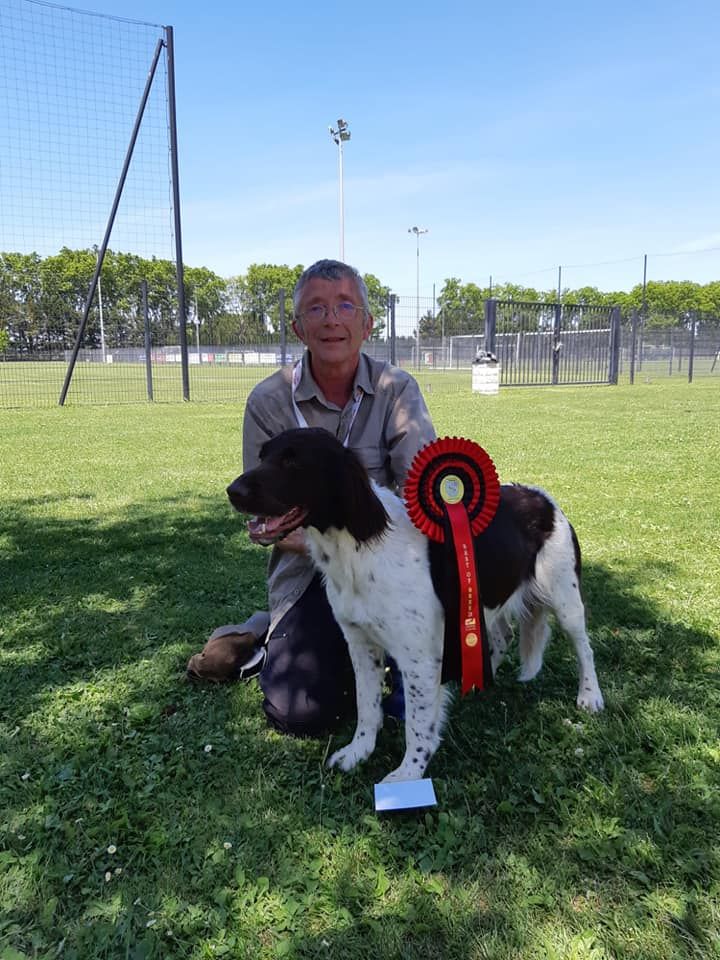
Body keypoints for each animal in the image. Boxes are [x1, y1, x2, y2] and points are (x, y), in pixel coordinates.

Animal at [228, 432, 604, 784]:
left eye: (293, 461)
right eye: (262, 455)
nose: (233, 491)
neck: (357, 547)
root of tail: (542, 498)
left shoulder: (419, 658)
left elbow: (417, 724)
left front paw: (409, 774)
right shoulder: (361, 644)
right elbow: (367, 707)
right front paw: (358, 751)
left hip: (566, 600)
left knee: (584, 648)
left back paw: (590, 697)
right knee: (503, 637)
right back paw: (479, 682)